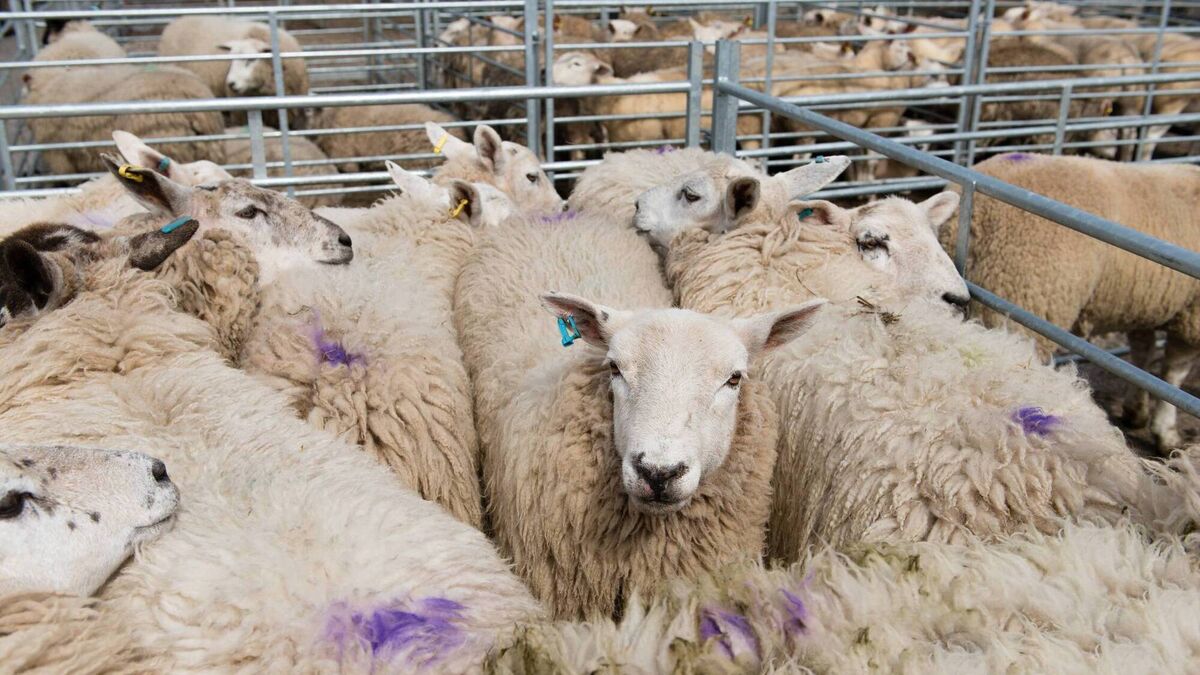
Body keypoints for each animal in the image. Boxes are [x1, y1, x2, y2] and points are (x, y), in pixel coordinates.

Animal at [944, 152, 1200, 452]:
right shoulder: (1193, 317)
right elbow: (1174, 375)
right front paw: (1166, 433)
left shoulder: (1145, 307)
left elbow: (1142, 359)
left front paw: (1137, 412)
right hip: (1025, 304)